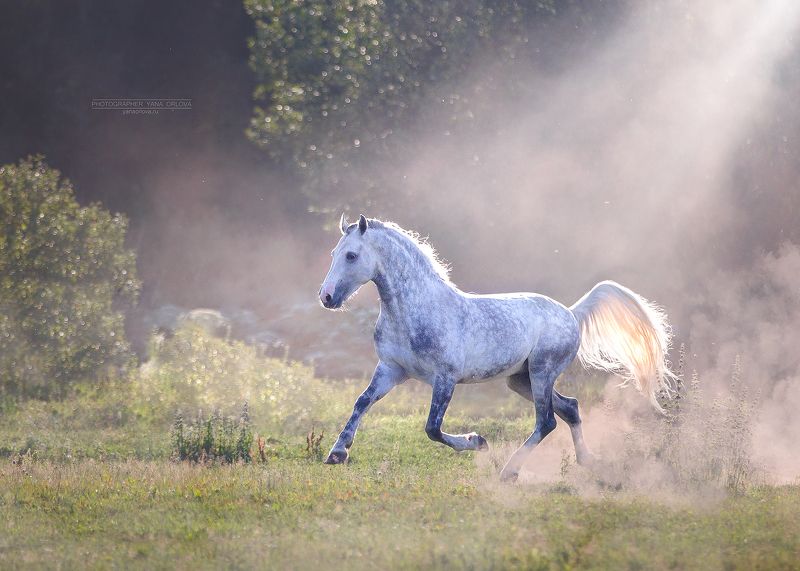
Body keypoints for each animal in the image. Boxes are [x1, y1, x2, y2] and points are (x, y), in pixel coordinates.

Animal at [318, 214, 675, 481]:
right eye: (333, 253)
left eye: (351, 255)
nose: (326, 297)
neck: (416, 310)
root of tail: (572, 314)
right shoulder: (392, 369)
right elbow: (362, 402)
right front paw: (337, 453)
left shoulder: (445, 378)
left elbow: (432, 428)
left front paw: (477, 442)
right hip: (520, 380)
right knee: (570, 408)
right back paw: (586, 461)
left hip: (542, 373)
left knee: (547, 421)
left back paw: (509, 472)